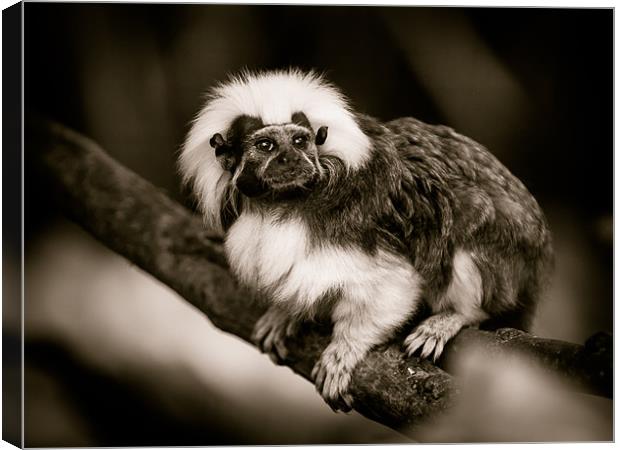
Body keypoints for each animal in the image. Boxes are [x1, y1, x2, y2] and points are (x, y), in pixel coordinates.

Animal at [178, 69, 552, 412]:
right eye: (266, 145)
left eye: (299, 142)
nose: (290, 159)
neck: (284, 203)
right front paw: (285, 315)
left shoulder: (364, 230)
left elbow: (390, 287)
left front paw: (344, 349)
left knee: (467, 223)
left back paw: (454, 316)